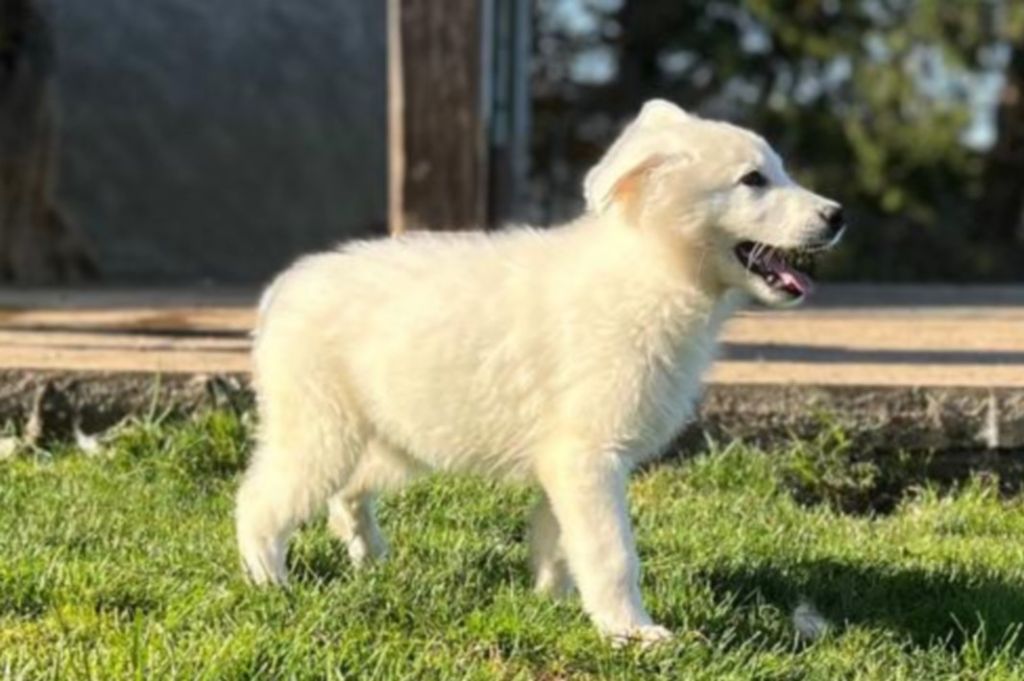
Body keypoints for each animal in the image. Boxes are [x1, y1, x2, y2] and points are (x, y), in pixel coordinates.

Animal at [235, 99, 843, 643]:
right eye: (753, 180)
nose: (838, 215)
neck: (650, 272)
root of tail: (279, 291)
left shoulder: (568, 462)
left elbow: (560, 542)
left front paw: (553, 605)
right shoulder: (588, 457)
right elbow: (612, 554)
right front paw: (632, 633)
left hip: (396, 437)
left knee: (349, 494)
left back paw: (372, 560)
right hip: (319, 433)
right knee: (258, 501)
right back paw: (269, 581)